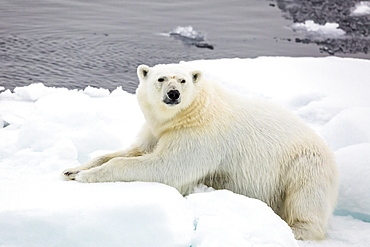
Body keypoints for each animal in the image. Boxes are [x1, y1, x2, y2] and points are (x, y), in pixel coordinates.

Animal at [62, 63, 338, 241]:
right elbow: (135, 150)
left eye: (182, 80)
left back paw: (294, 230)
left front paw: (86, 176)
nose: (173, 94)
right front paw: (72, 169)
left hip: (303, 164)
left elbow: (167, 166)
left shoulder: (199, 135)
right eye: (161, 79)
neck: (190, 112)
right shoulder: (157, 131)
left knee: (305, 198)